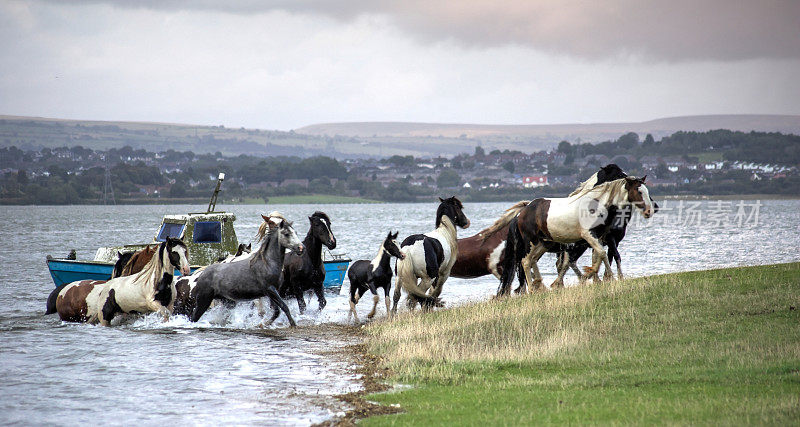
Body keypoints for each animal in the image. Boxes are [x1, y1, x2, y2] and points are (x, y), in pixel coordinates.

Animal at [500, 176, 656, 296]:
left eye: (647, 190)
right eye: (639, 191)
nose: (649, 211)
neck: (597, 205)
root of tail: (521, 213)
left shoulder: (598, 237)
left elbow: (598, 255)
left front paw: (593, 275)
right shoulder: (588, 235)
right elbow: (602, 254)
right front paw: (604, 276)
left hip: (544, 243)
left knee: (533, 260)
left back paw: (541, 285)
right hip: (531, 242)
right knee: (526, 262)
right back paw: (533, 289)